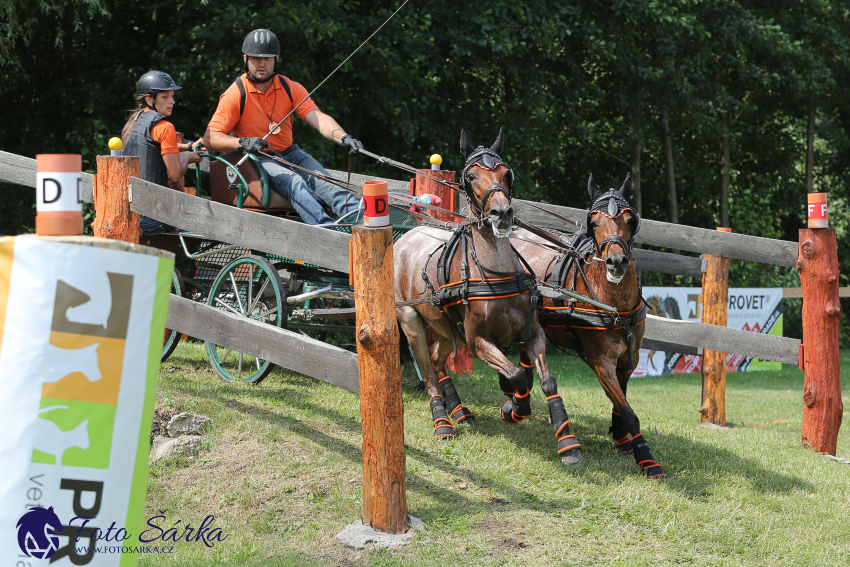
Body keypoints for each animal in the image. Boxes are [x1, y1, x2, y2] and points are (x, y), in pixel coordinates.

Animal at [392, 130, 580, 466]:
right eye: (470, 175)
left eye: (507, 173)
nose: (502, 213)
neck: (495, 275)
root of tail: (407, 237)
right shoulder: (478, 341)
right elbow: (517, 375)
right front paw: (514, 408)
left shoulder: (533, 333)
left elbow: (545, 380)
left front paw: (567, 442)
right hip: (411, 322)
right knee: (428, 373)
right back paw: (443, 423)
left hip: (447, 329)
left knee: (438, 361)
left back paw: (459, 410)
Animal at [510, 174, 664, 480]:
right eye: (593, 222)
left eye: (631, 220)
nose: (616, 262)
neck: (615, 307)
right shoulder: (601, 362)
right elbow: (630, 412)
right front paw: (646, 458)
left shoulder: (629, 359)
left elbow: (621, 401)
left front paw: (621, 436)